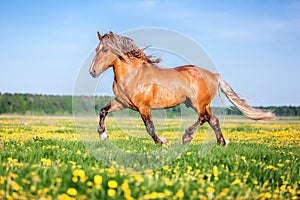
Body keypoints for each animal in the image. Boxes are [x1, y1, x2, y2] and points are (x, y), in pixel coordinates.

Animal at [89, 30, 276, 145]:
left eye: (105, 50)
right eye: (96, 49)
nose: (92, 72)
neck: (133, 75)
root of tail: (214, 75)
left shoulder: (144, 107)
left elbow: (150, 127)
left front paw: (162, 141)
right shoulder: (122, 103)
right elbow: (103, 111)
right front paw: (103, 135)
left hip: (197, 103)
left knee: (203, 118)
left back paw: (187, 137)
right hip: (204, 104)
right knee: (213, 120)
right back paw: (222, 142)